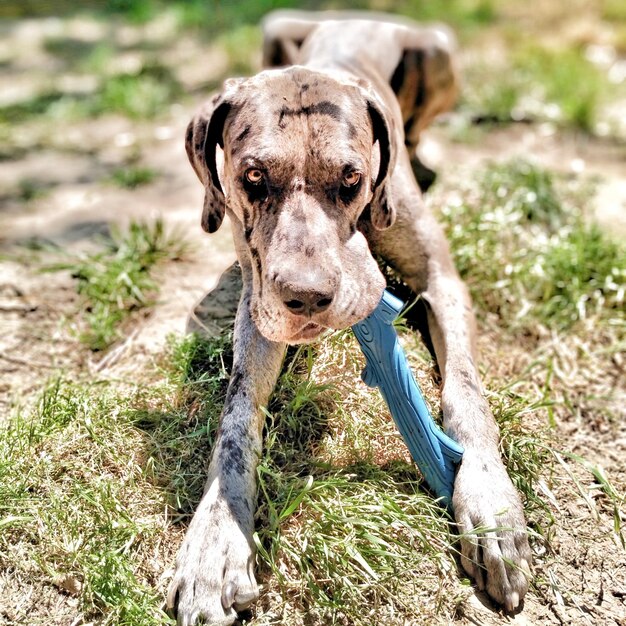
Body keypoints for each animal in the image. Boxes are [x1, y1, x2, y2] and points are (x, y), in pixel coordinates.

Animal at [167, 11, 532, 624]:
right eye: (253, 178)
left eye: (352, 179)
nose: (307, 297)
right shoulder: (258, 302)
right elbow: (237, 416)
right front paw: (217, 538)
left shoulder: (443, 282)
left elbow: (467, 391)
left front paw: (490, 500)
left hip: (437, 52)